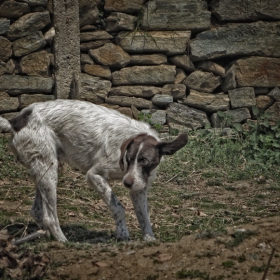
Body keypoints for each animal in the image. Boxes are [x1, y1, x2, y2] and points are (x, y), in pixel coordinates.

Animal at [1, 100, 188, 243]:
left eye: (144, 162)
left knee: (37, 211)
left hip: (46, 167)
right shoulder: (95, 175)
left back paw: (45, 236)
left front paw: (149, 240)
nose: (127, 183)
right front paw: (122, 234)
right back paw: (64, 242)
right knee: (50, 217)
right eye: (129, 159)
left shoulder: (139, 188)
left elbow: (144, 217)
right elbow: (118, 207)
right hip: (48, 170)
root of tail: (15, 121)